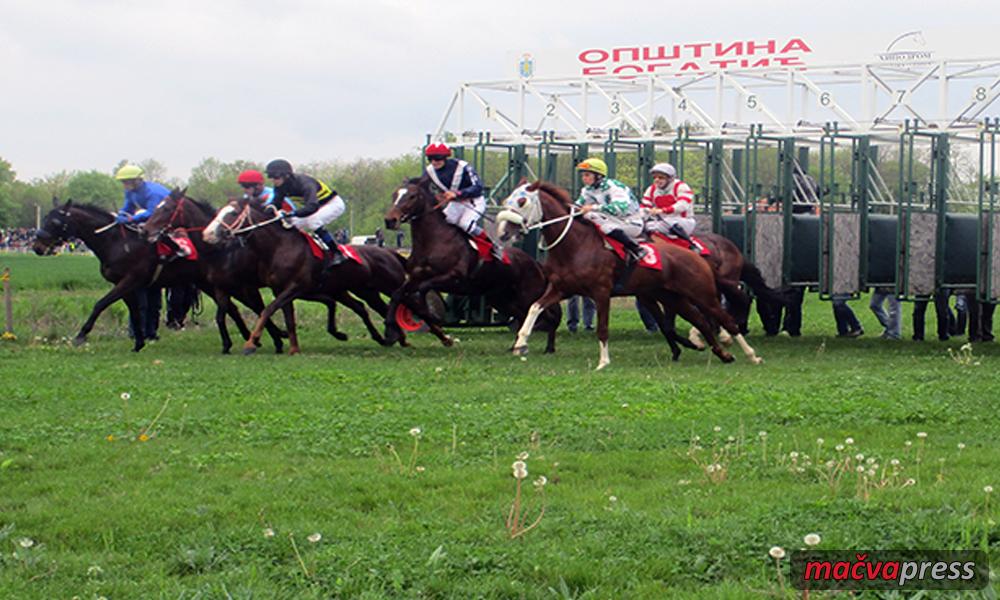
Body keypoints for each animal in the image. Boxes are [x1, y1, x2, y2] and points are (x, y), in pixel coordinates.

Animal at [382, 176, 564, 352]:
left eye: (412, 196)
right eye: (394, 194)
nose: (390, 220)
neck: (434, 241)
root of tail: (535, 263)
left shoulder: (453, 277)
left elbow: (424, 288)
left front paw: (430, 315)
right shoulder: (415, 277)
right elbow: (398, 294)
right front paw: (390, 326)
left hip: (528, 294)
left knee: (548, 315)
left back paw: (549, 347)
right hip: (502, 299)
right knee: (522, 316)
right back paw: (517, 346)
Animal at [496, 180, 760, 368]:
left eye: (522, 201)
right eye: (507, 199)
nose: (502, 232)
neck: (575, 245)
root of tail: (696, 254)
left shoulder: (601, 292)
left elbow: (603, 328)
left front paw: (603, 362)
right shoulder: (561, 289)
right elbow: (534, 307)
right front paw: (520, 343)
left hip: (702, 292)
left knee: (725, 317)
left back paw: (750, 353)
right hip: (672, 296)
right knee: (702, 321)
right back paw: (723, 354)